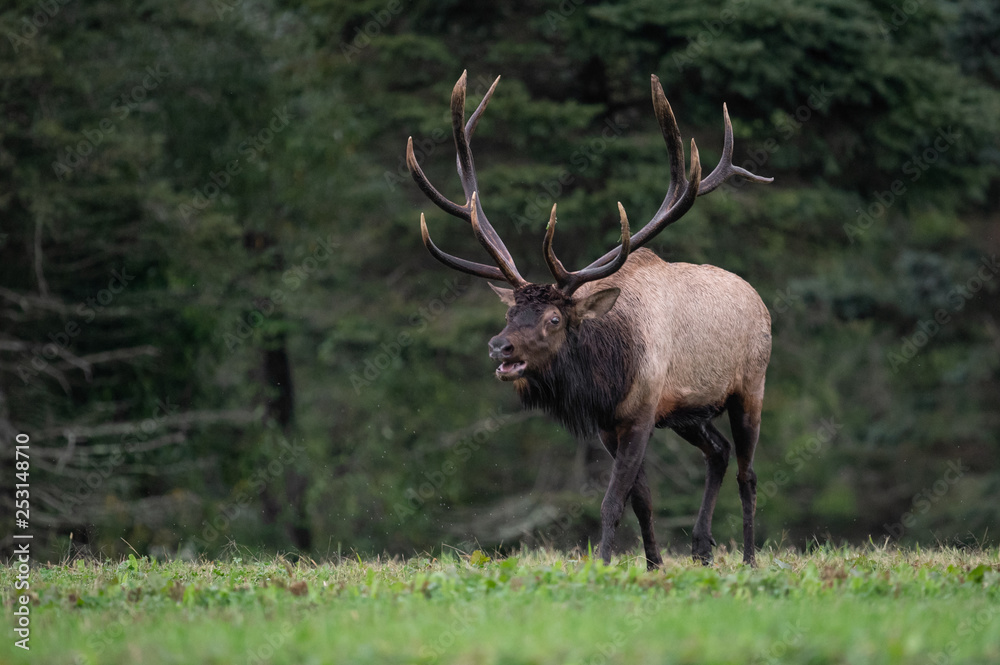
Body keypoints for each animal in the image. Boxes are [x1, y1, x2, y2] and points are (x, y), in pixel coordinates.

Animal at [406, 70, 772, 564]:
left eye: (554, 320)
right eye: (511, 311)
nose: (499, 346)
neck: (609, 372)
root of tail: (759, 300)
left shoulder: (641, 413)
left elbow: (613, 501)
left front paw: (603, 563)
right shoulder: (609, 424)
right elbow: (642, 501)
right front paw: (653, 565)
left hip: (750, 386)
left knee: (747, 472)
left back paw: (750, 557)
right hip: (690, 414)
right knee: (718, 452)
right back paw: (701, 549)